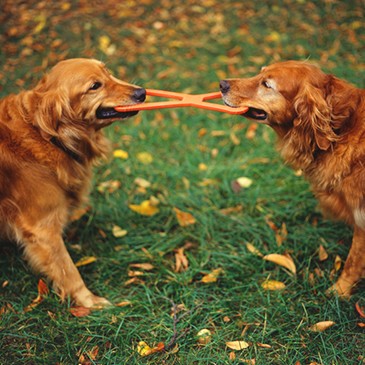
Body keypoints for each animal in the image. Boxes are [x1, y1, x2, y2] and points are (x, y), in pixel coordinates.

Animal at [0, 58, 145, 306]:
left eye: (107, 72)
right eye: (95, 86)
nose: (142, 92)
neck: (46, 136)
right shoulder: (42, 228)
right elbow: (67, 269)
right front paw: (90, 302)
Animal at [219, 59, 364, 296]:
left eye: (267, 85)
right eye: (259, 73)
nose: (222, 84)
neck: (340, 130)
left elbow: (353, 262)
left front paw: (338, 292)